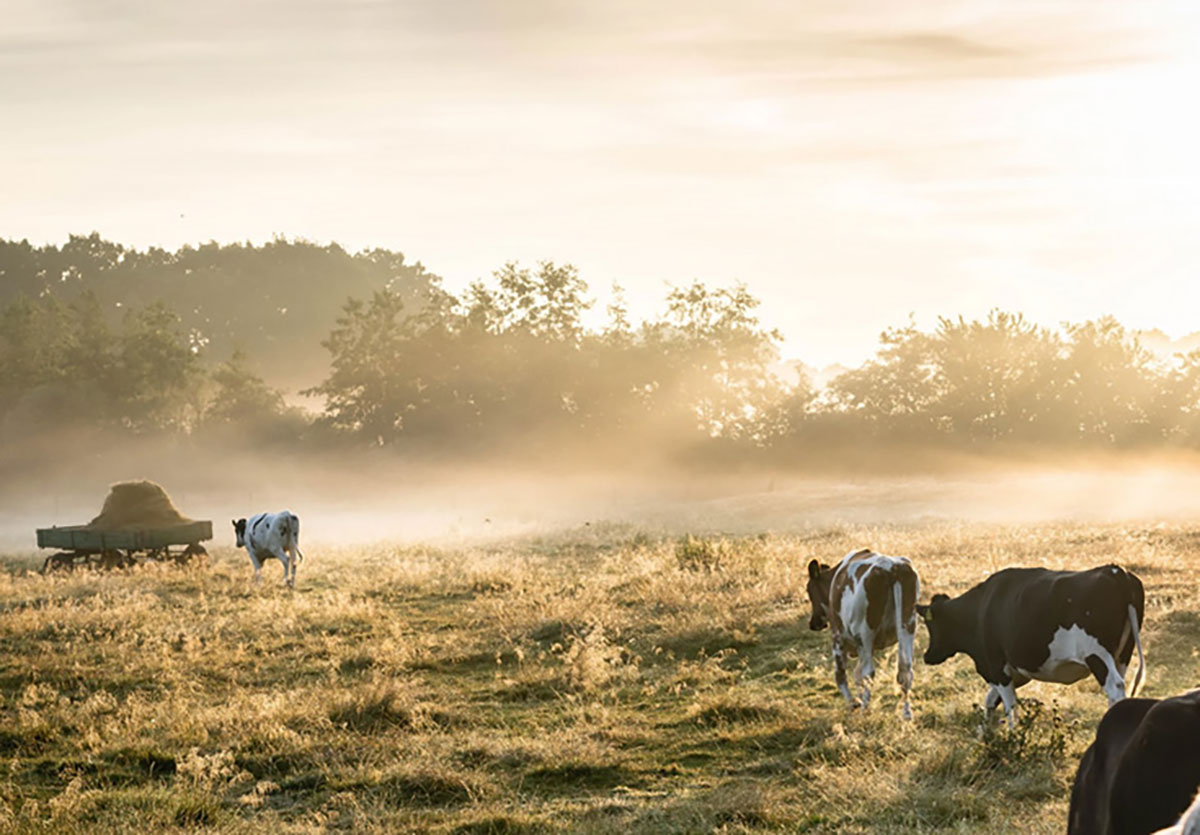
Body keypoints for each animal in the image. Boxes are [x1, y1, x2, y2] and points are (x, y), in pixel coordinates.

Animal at [806, 547, 916, 719]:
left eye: (809, 591)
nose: (813, 623)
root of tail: (891, 567)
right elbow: (857, 675)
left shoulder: (838, 638)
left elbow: (841, 675)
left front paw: (854, 703)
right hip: (907, 626)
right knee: (905, 670)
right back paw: (906, 712)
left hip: (865, 633)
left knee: (869, 673)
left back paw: (865, 707)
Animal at [916, 563, 1142, 729]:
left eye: (930, 624)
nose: (927, 656)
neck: (980, 609)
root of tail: (1115, 570)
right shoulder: (1014, 672)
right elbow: (991, 700)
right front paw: (986, 733)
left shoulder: (997, 667)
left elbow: (1009, 706)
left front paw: (1012, 736)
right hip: (1122, 655)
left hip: (1097, 655)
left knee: (1115, 687)